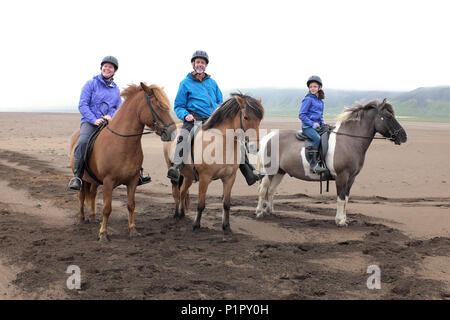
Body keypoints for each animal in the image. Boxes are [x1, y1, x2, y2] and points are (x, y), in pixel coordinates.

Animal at [68, 82, 176, 240]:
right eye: (158, 106)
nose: (173, 133)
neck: (122, 143)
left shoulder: (132, 181)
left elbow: (131, 205)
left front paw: (132, 230)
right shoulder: (108, 181)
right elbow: (107, 208)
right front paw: (103, 234)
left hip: (94, 180)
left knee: (92, 194)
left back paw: (93, 217)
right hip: (83, 179)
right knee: (81, 196)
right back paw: (81, 218)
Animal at [164, 93, 264, 235]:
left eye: (259, 120)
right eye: (246, 117)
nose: (254, 147)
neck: (221, 144)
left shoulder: (229, 178)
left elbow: (226, 203)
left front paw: (226, 226)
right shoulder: (205, 178)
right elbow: (201, 204)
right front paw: (196, 225)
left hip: (188, 176)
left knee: (183, 191)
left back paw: (182, 214)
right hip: (172, 170)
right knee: (176, 193)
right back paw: (176, 215)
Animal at [256, 99, 408, 226]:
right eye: (388, 116)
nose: (403, 136)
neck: (349, 141)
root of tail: (269, 137)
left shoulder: (351, 178)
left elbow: (346, 198)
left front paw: (344, 219)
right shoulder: (342, 176)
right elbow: (340, 199)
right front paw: (340, 221)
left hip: (279, 172)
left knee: (271, 190)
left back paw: (271, 211)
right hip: (269, 172)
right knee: (263, 190)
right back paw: (259, 212)